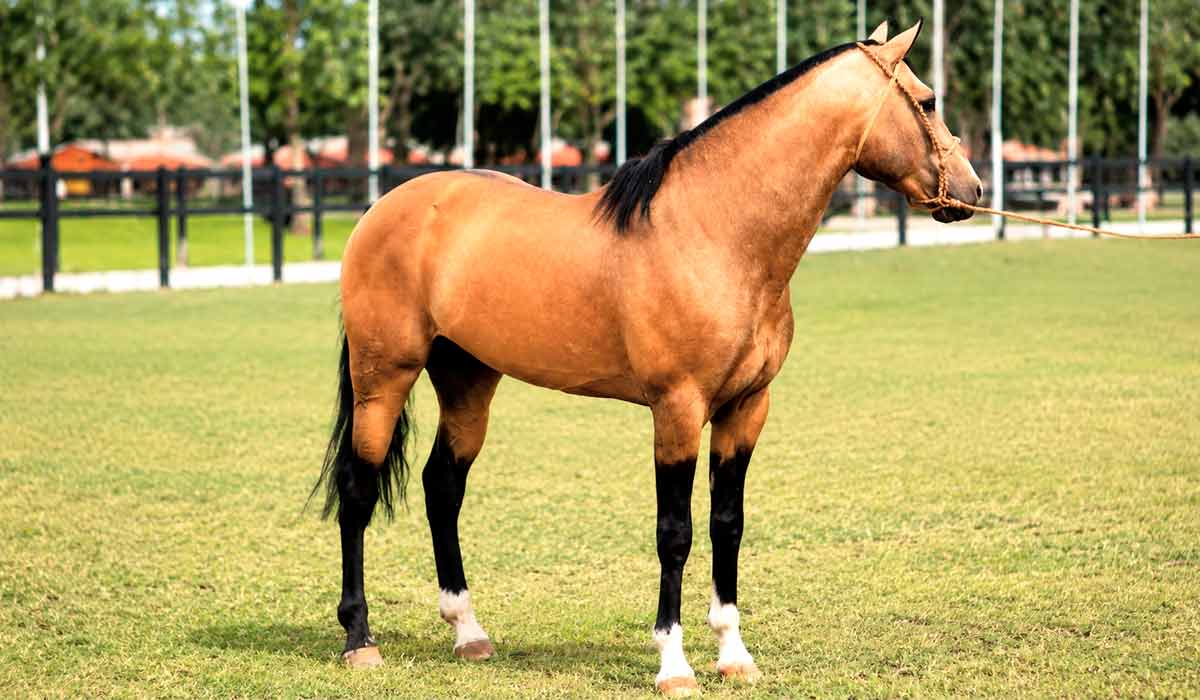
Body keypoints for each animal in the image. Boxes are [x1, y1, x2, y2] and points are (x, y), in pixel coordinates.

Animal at [312, 19, 981, 697]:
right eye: (928, 101)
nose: (972, 190)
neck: (715, 234)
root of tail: (383, 208)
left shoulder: (746, 409)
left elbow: (727, 523)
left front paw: (733, 653)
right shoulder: (677, 409)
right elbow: (675, 533)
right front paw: (674, 664)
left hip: (468, 380)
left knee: (442, 487)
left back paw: (468, 632)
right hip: (383, 379)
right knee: (358, 492)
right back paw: (359, 640)